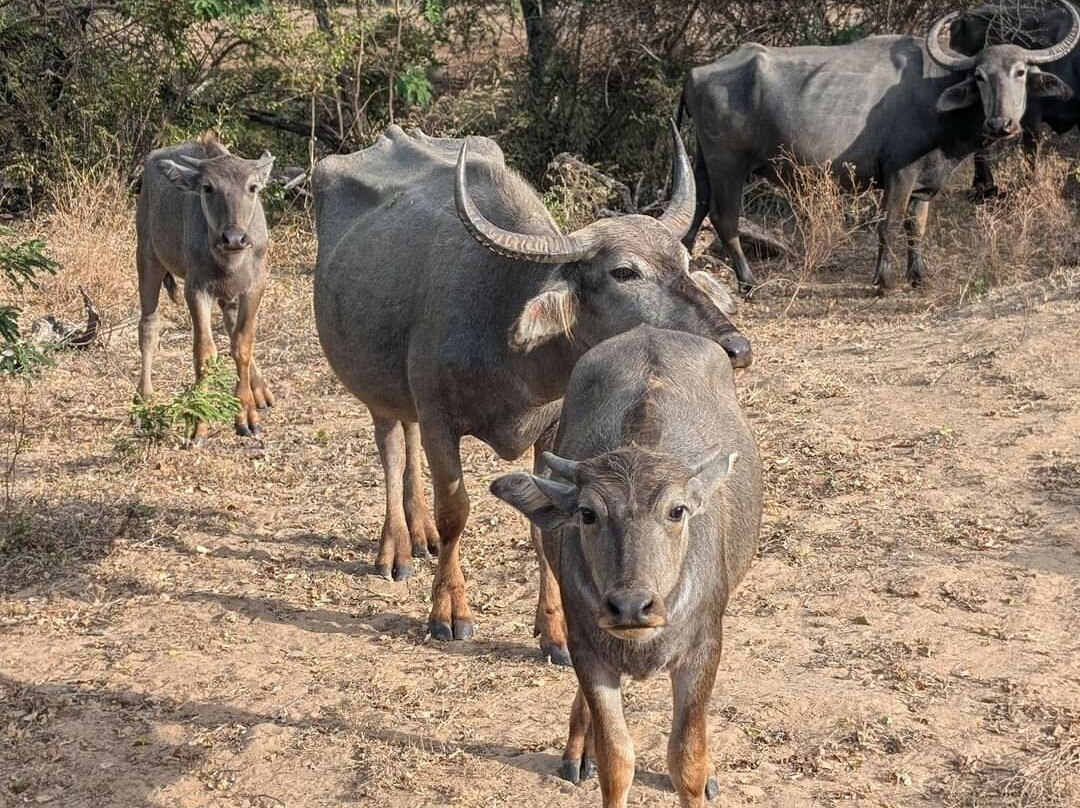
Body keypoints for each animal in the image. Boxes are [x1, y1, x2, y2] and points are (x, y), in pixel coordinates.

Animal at [135, 135, 276, 445]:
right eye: (208, 187)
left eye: (252, 187)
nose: (233, 238)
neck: (229, 261)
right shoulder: (197, 289)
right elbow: (204, 352)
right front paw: (198, 424)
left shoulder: (254, 287)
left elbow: (242, 344)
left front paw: (247, 415)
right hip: (147, 257)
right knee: (149, 325)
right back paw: (144, 396)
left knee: (232, 325)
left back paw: (260, 390)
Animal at [313, 121, 751, 661]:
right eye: (624, 272)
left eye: (686, 263)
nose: (736, 347)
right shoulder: (440, 418)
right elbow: (455, 511)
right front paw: (449, 612)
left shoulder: (552, 431)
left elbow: (547, 527)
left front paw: (555, 629)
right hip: (374, 389)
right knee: (392, 447)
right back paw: (395, 547)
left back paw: (420, 535)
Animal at [490, 326, 760, 808]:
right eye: (587, 513)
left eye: (677, 510)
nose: (631, 606)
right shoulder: (587, 650)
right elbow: (616, 759)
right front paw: (591, 752)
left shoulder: (703, 650)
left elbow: (686, 759)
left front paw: (702, 772)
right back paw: (578, 751)